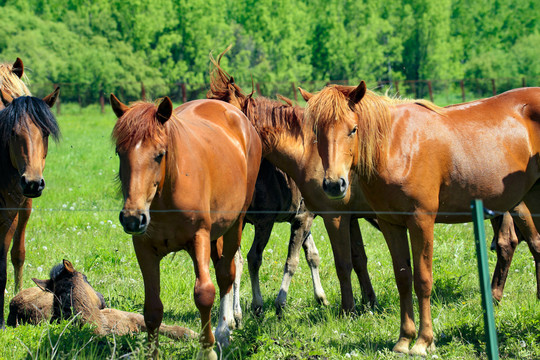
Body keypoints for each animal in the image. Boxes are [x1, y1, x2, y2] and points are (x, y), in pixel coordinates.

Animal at [110, 94, 262, 358]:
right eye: (120, 153)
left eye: (159, 154)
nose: (133, 218)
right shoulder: (144, 248)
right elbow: (152, 308)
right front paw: (152, 353)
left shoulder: (199, 237)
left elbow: (204, 293)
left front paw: (207, 350)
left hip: (235, 224)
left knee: (226, 274)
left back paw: (224, 332)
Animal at [302, 83, 540, 356]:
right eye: (317, 132)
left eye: (353, 129)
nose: (334, 184)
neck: (396, 148)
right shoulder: (391, 224)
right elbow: (403, 279)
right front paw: (405, 339)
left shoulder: (421, 222)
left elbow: (423, 280)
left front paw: (424, 341)